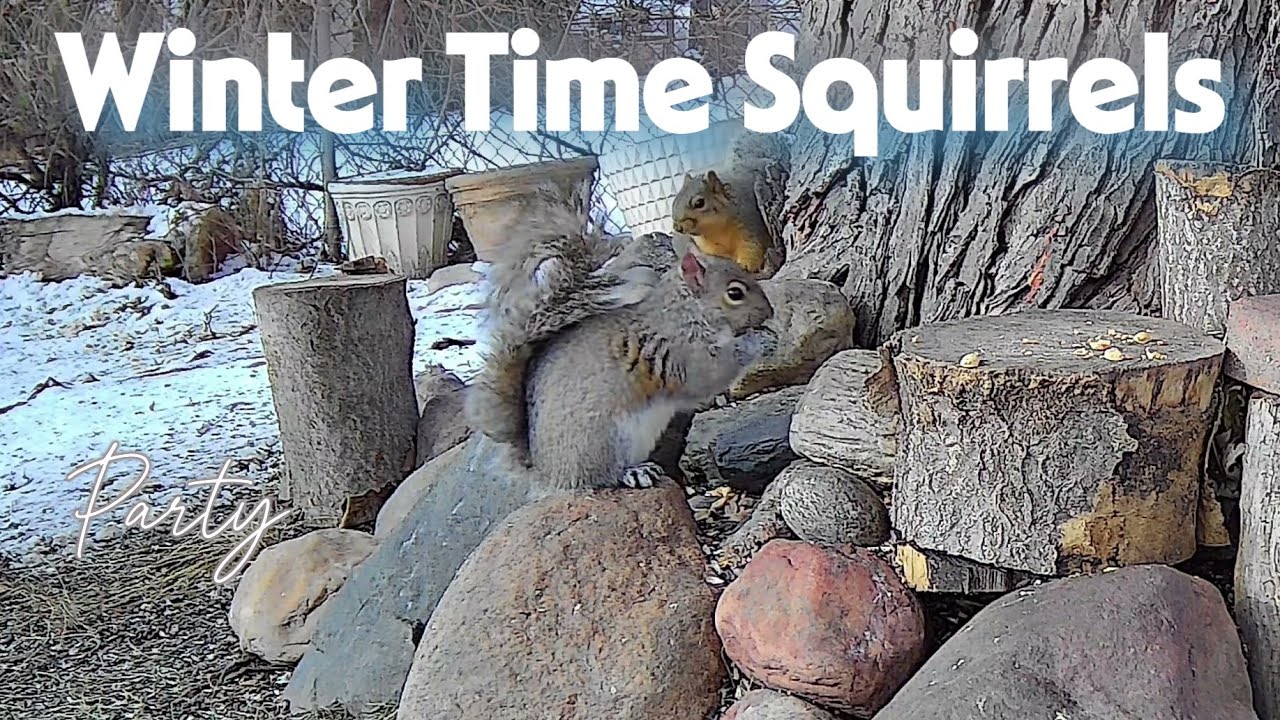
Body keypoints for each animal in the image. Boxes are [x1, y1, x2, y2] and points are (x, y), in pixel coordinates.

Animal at [465, 210, 777, 492]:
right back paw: (633, 473)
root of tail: (546, 471)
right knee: (599, 478)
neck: (687, 311)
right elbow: (711, 375)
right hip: (602, 442)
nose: (770, 311)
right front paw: (758, 341)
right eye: (734, 293)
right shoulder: (684, 353)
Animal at [671, 124, 791, 277]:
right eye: (674, 201)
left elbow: (753, 247)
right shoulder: (713, 249)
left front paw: (747, 266)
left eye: (699, 203)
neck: (716, 231)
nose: (677, 227)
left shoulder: (751, 224)